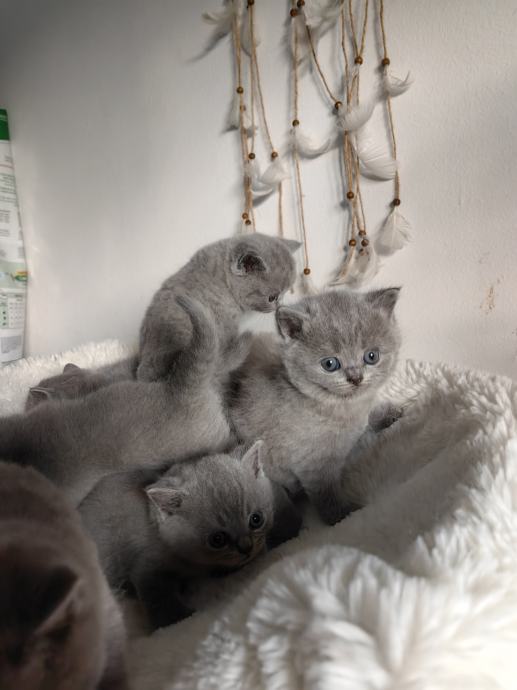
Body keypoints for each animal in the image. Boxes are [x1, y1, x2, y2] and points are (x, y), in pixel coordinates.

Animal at [78, 442, 301, 630]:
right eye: (217, 539)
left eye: (256, 519)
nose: (246, 547)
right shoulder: (147, 569)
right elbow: (160, 600)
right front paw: (178, 619)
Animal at [229, 287, 402, 526]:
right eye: (330, 364)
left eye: (371, 356)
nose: (356, 378)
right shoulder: (312, 464)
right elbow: (325, 494)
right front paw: (343, 515)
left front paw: (389, 414)